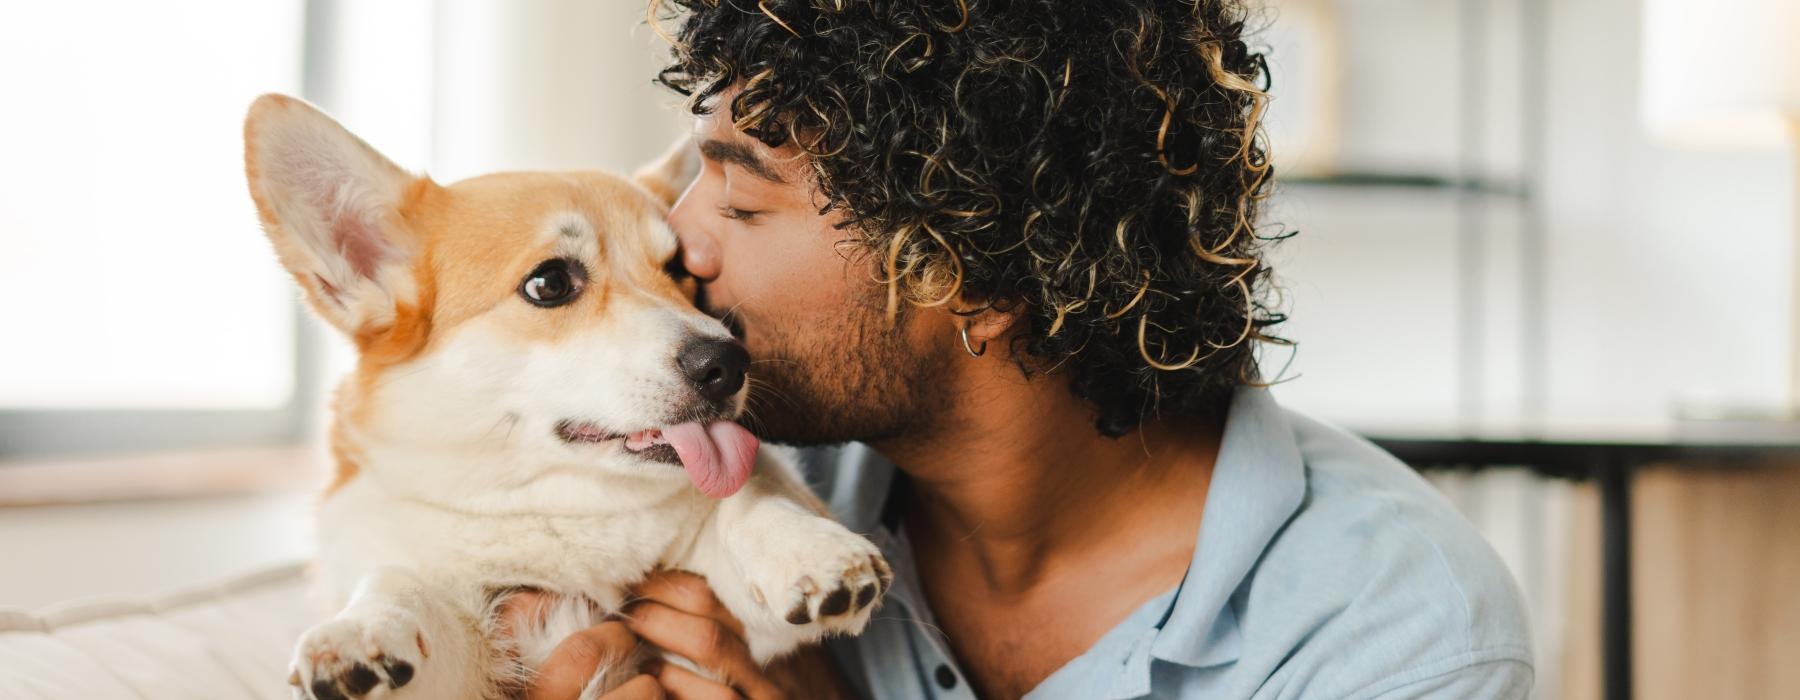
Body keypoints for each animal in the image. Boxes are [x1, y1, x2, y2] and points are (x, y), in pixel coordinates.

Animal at [243, 94, 889, 698]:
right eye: (550, 283)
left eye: (680, 268)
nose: (728, 364)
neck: (561, 508)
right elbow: (398, 582)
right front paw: (360, 632)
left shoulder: (737, 627)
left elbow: (750, 495)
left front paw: (810, 550)